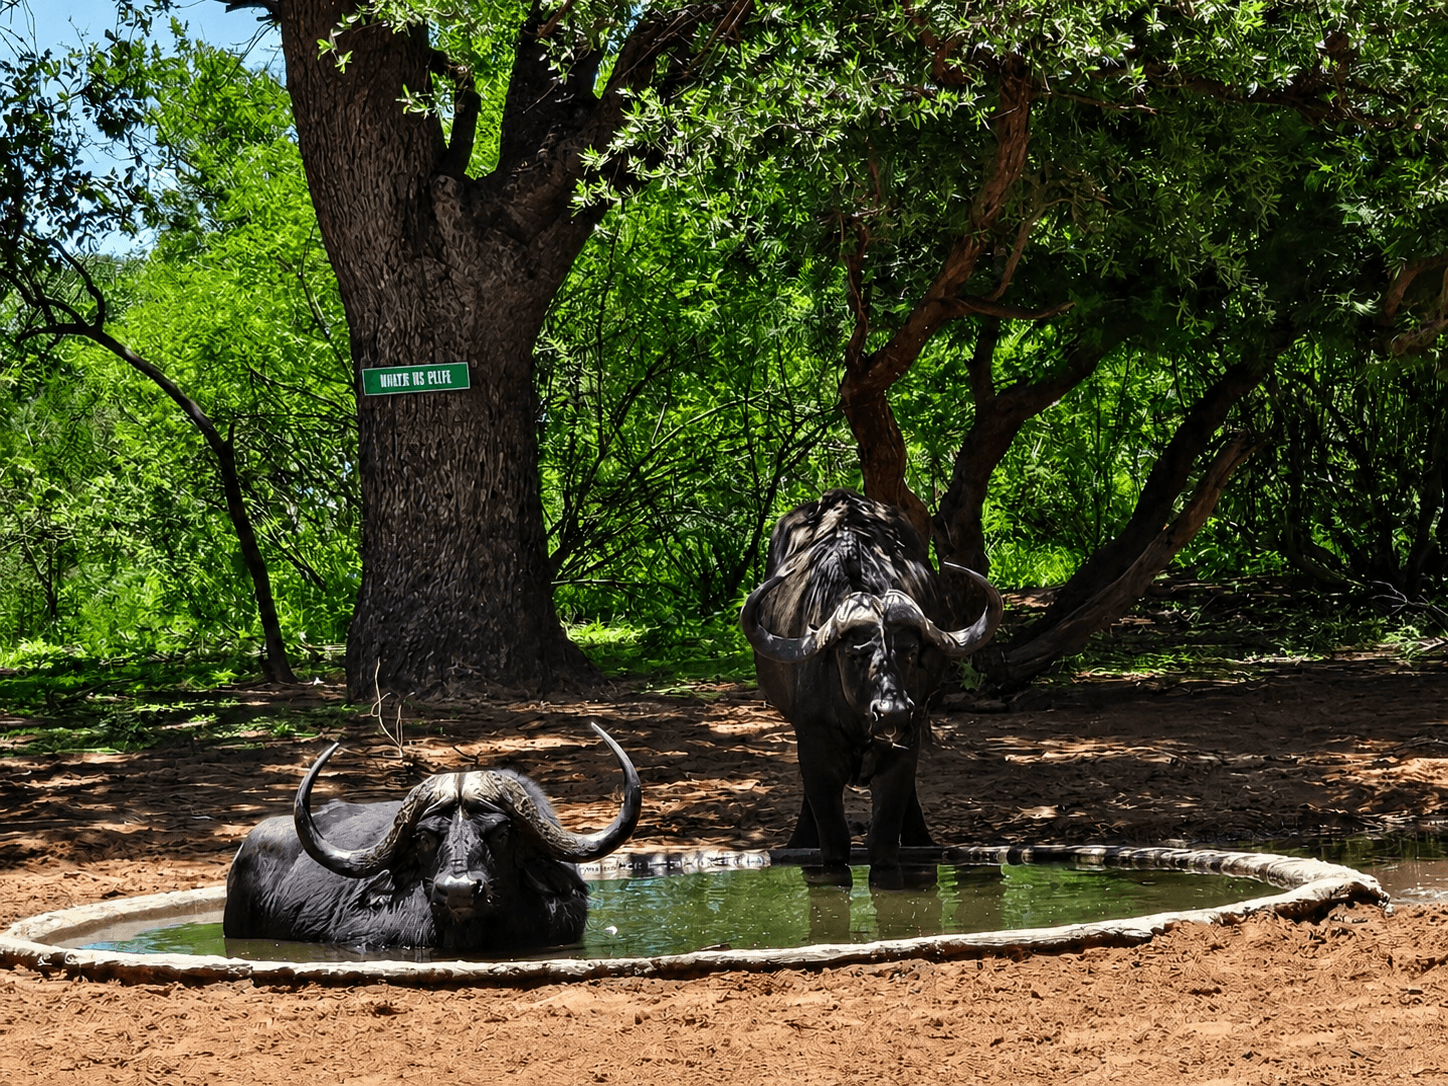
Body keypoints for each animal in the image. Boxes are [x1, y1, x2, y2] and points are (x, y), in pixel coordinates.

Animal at [740, 489, 1002, 885]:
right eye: (855, 653)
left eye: (909, 651)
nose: (892, 712)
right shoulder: (814, 747)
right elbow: (835, 840)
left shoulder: (904, 748)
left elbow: (883, 838)